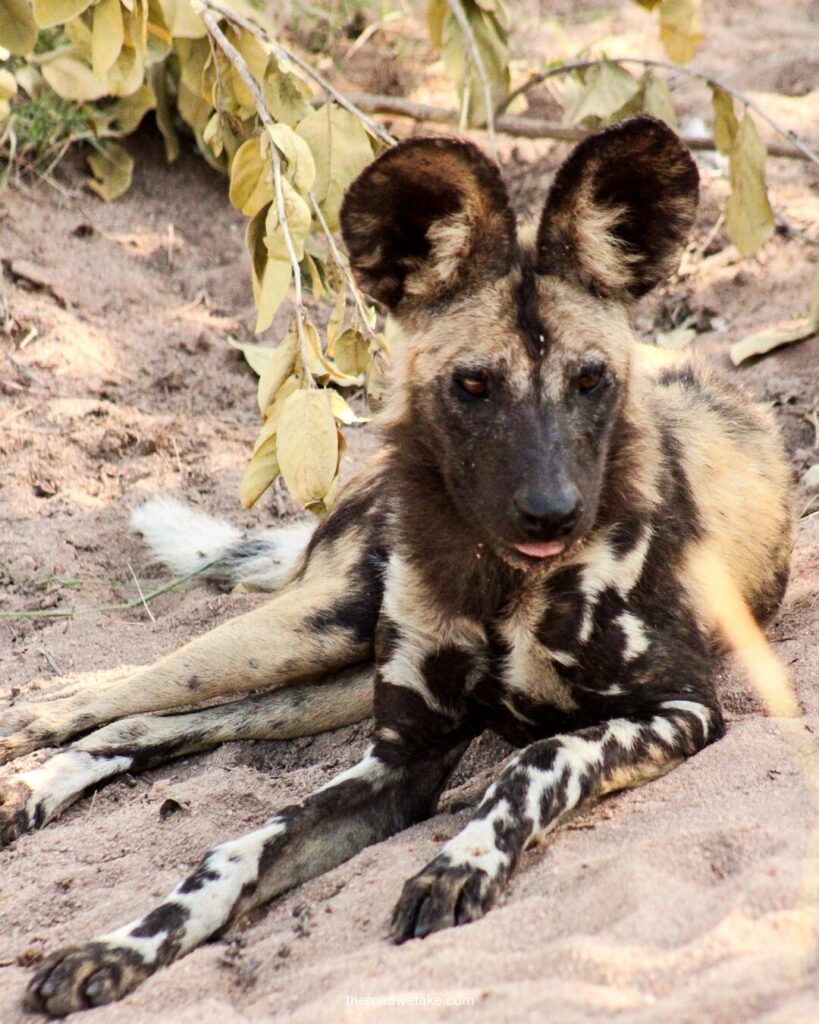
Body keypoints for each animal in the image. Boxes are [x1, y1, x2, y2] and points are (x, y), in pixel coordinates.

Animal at [0, 116, 794, 1011]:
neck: (499, 582)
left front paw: (460, 863)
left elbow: (537, 758)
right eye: (473, 385)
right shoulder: (399, 754)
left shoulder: (682, 708)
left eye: (590, 380)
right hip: (317, 630)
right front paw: (124, 944)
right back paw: (31, 761)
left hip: (327, 676)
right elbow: (237, 851)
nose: (553, 513)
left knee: (161, 721)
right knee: (126, 693)